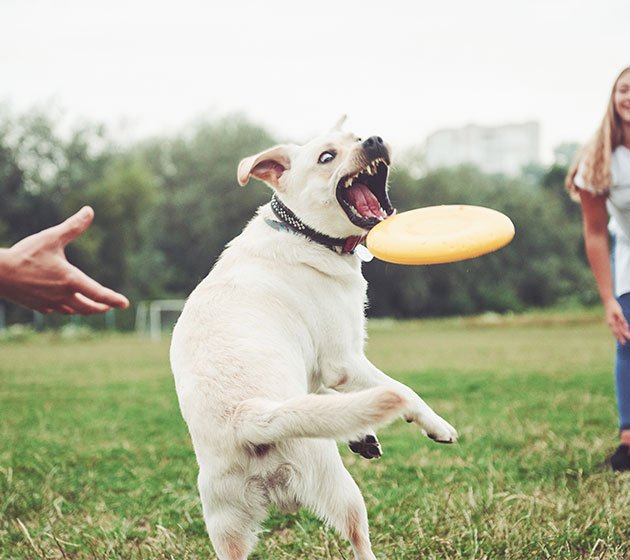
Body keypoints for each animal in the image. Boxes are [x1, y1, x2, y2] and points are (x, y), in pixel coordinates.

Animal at [173, 123, 460, 560]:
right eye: (327, 157)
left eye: (357, 136)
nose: (374, 140)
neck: (304, 232)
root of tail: (247, 417)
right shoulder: (344, 361)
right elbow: (401, 390)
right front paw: (436, 425)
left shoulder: (316, 371)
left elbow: (323, 398)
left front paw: (361, 433)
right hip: (338, 487)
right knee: (359, 539)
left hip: (225, 524)